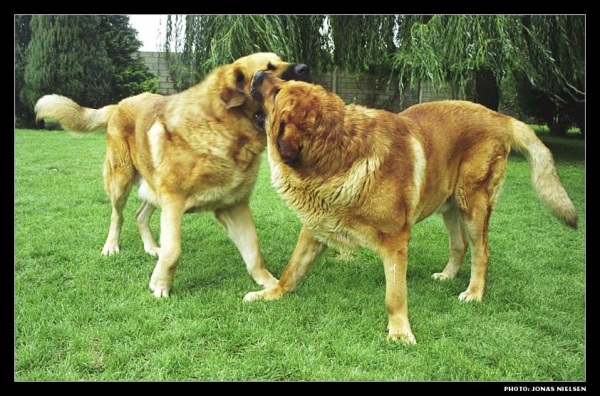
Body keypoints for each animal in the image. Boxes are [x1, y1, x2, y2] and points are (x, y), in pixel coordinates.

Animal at [35, 54, 312, 298]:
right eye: (268, 68)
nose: (305, 69)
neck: (223, 129)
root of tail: (119, 104)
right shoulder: (174, 203)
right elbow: (173, 250)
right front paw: (160, 286)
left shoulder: (235, 206)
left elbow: (253, 251)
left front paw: (271, 284)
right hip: (121, 181)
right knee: (118, 216)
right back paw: (111, 246)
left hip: (153, 188)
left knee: (139, 215)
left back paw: (150, 247)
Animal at [246, 71, 580, 344]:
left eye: (277, 92)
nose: (258, 72)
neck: (337, 153)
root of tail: (500, 117)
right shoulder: (315, 229)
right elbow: (292, 270)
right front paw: (272, 293)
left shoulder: (395, 243)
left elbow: (394, 295)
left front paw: (399, 331)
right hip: (449, 205)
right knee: (459, 244)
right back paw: (447, 275)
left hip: (473, 204)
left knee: (481, 252)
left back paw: (474, 292)